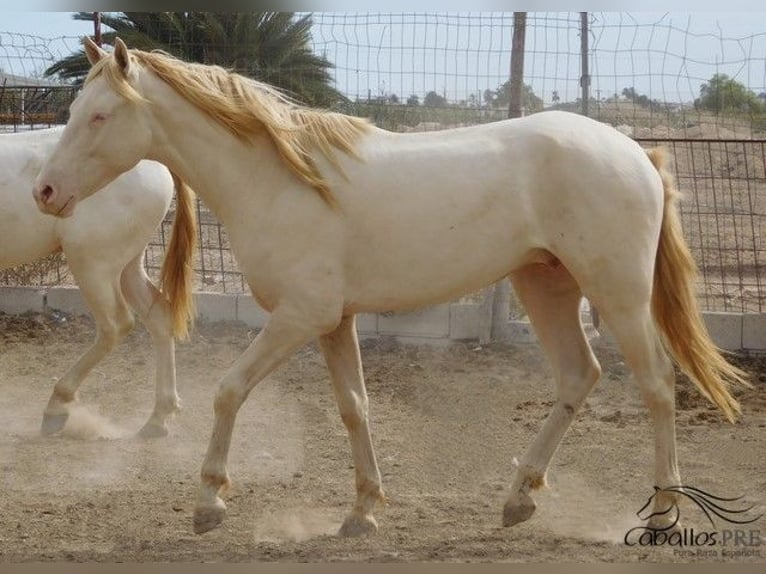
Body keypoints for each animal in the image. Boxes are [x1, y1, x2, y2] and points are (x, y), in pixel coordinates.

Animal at [2, 127, 198, 440]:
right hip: (127, 267)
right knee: (159, 317)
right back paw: (157, 419)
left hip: (93, 264)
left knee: (115, 326)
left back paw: (56, 408)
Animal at [31, 38, 752, 536]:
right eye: (76, 109)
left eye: (99, 116)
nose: (45, 192)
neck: (282, 181)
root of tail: (636, 152)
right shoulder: (334, 322)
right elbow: (354, 408)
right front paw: (363, 511)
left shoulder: (299, 317)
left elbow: (229, 390)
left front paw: (209, 501)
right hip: (545, 285)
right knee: (580, 375)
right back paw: (518, 497)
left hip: (617, 291)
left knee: (657, 384)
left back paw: (660, 516)